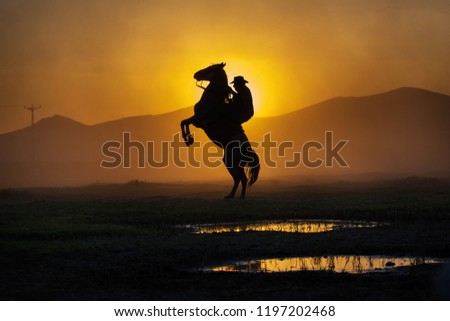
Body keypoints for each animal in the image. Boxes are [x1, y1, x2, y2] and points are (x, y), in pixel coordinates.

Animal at [181, 62, 260, 198]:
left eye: (210, 68)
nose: (195, 74)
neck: (211, 100)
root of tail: (248, 151)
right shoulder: (196, 119)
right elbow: (184, 122)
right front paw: (189, 139)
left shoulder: (199, 119)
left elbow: (183, 123)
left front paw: (188, 139)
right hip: (229, 162)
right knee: (239, 179)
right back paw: (231, 196)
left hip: (232, 162)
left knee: (241, 178)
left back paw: (239, 197)